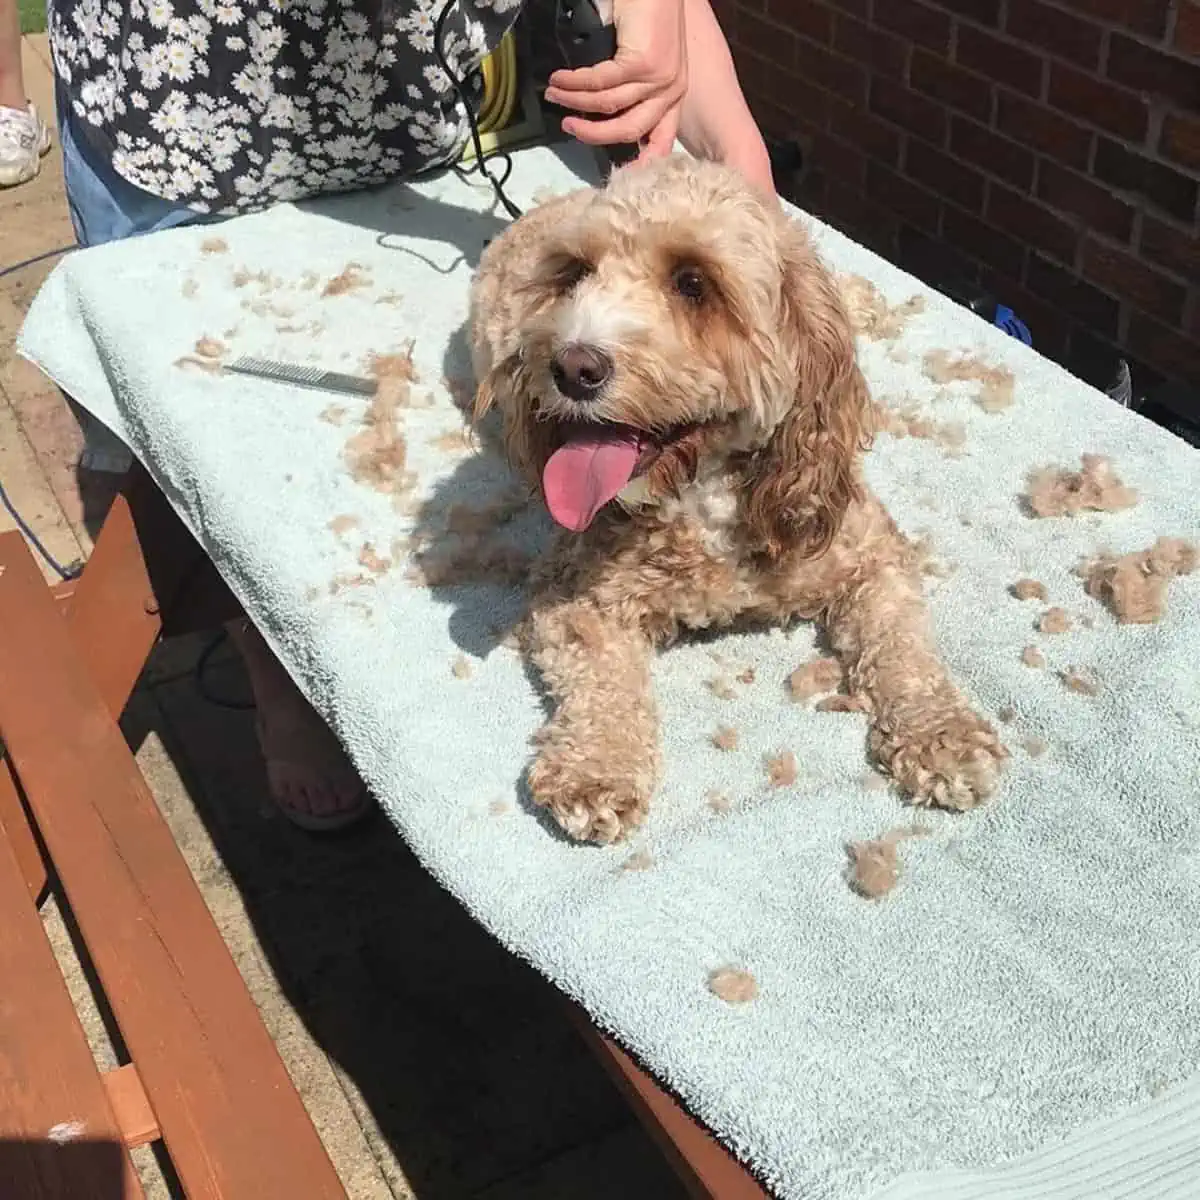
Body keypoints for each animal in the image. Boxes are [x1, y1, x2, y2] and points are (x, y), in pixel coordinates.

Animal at [468, 154, 1003, 844]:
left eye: (693, 281)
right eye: (574, 274)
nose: (570, 366)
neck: (706, 492)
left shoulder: (871, 556)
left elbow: (903, 649)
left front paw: (943, 735)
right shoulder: (573, 593)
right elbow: (600, 679)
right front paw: (597, 768)